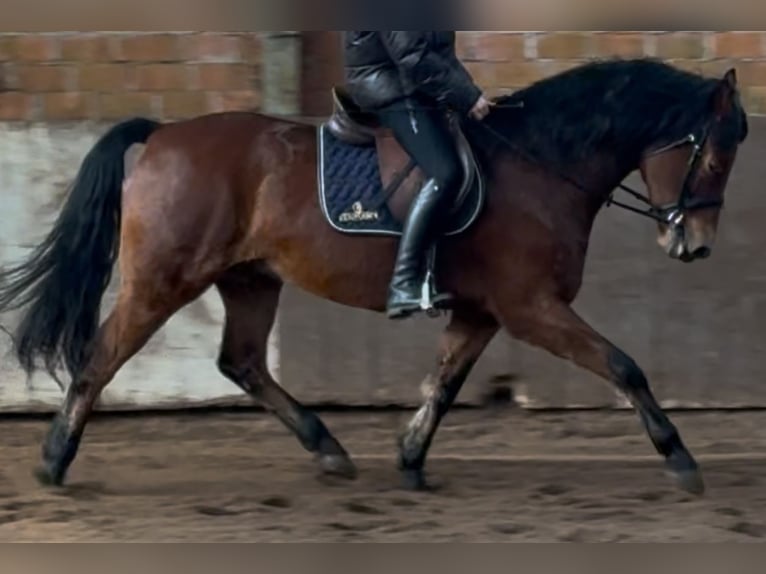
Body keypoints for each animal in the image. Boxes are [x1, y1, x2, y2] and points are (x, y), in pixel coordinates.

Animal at [0, 59, 752, 500]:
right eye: (715, 156)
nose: (694, 245)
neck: (540, 164)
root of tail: (162, 134)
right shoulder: (531, 306)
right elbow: (624, 366)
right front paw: (680, 459)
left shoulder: (482, 312)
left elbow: (443, 385)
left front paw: (410, 458)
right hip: (164, 278)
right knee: (101, 356)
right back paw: (54, 461)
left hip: (250, 279)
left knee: (242, 362)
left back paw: (329, 450)